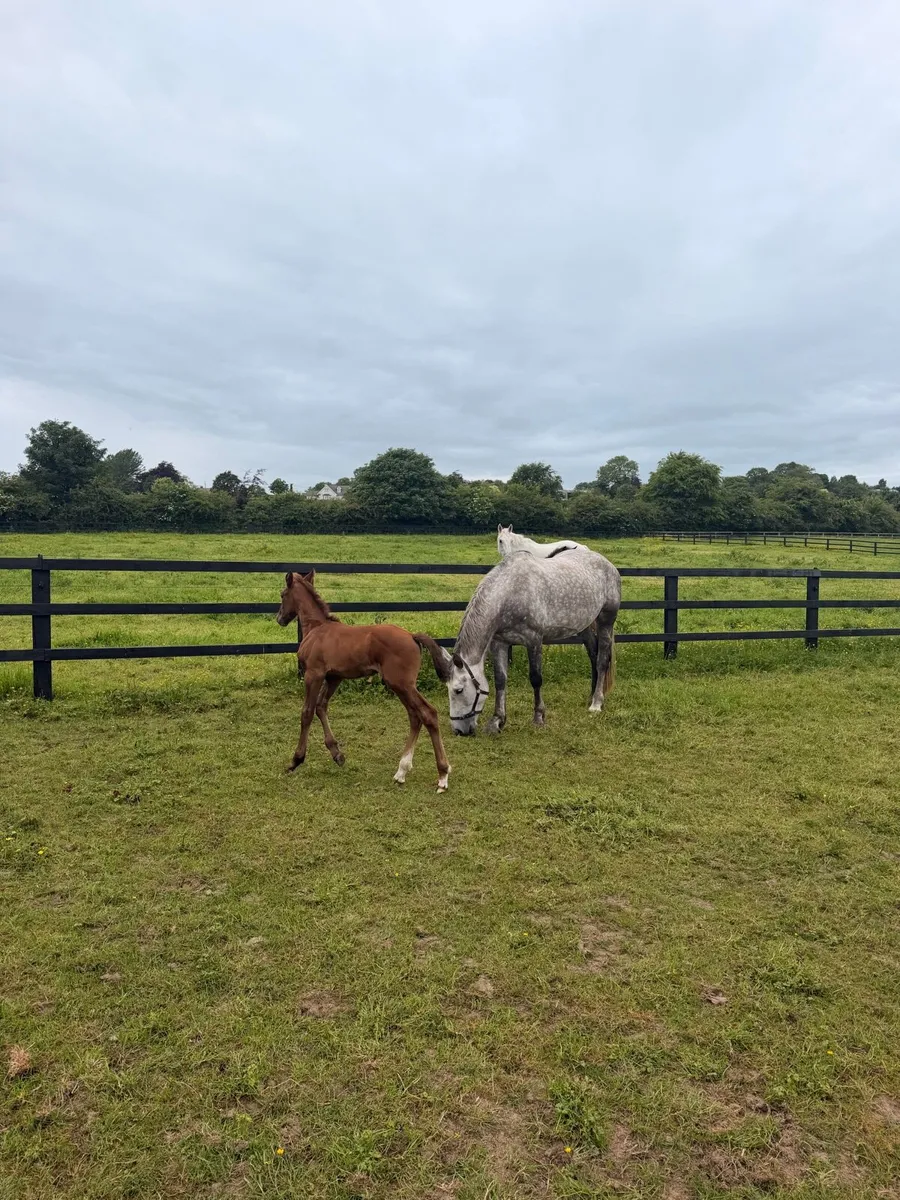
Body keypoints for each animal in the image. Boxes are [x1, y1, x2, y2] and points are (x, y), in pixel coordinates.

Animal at [275, 571, 451, 791]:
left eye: (283, 594)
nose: (279, 619)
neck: (317, 628)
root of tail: (412, 636)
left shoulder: (313, 674)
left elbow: (307, 712)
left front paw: (296, 760)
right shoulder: (334, 677)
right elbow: (321, 707)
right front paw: (337, 754)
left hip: (401, 684)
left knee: (428, 713)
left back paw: (442, 775)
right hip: (400, 686)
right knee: (415, 716)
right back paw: (401, 771)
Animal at [423, 547, 620, 736]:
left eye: (458, 690)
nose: (459, 731)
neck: (509, 593)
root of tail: (608, 564)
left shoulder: (534, 640)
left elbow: (536, 678)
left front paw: (538, 717)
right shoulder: (499, 643)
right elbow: (500, 679)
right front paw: (497, 721)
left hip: (606, 621)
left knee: (602, 660)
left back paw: (596, 703)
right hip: (585, 626)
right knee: (593, 655)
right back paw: (592, 695)